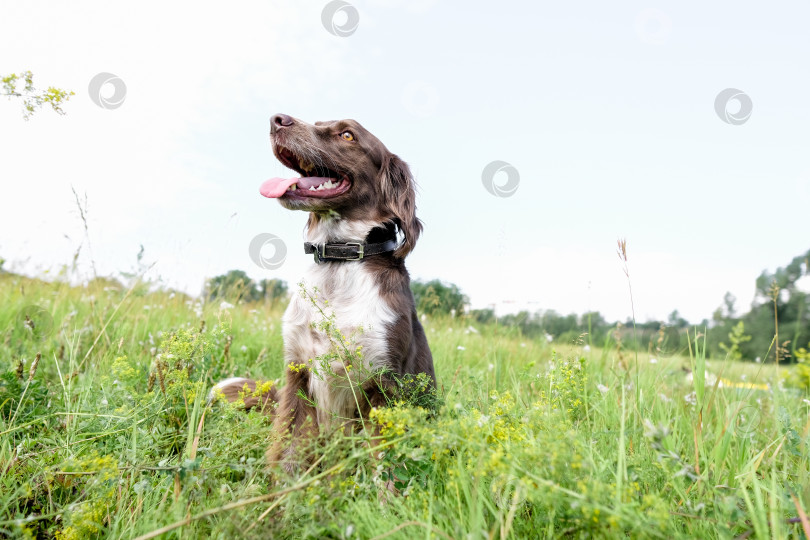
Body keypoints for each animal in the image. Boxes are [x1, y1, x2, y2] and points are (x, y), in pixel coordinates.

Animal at [211, 113, 432, 472]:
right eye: (318, 122)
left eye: (347, 135)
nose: (278, 120)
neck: (338, 263)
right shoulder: (297, 373)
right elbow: (287, 452)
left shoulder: (384, 385)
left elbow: (380, 465)